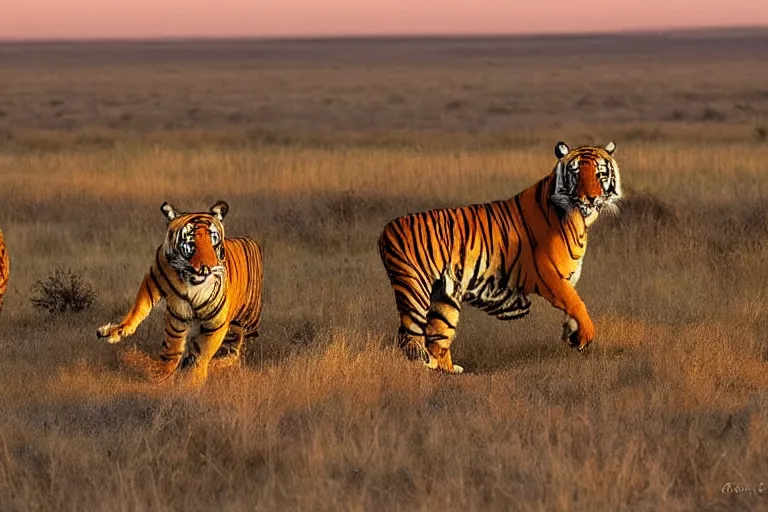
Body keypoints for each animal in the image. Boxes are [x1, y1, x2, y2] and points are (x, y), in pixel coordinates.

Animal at [97, 200, 264, 384]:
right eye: (191, 243)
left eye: (213, 241)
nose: (207, 268)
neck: (193, 285)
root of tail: (251, 240)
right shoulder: (157, 284)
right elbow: (144, 315)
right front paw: (160, 374)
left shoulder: (216, 323)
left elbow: (202, 353)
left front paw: (193, 381)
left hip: (245, 322)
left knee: (234, 348)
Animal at [380, 142, 624, 374]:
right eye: (576, 174)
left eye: (600, 174)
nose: (590, 199)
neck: (579, 220)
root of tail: (386, 229)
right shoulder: (547, 275)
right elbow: (576, 303)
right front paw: (585, 336)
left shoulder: (566, 278)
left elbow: (572, 307)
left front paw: (571, 333)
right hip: (415, 289)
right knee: (410, 336)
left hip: (444, 297)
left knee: (438, 334)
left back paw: (448, 369)